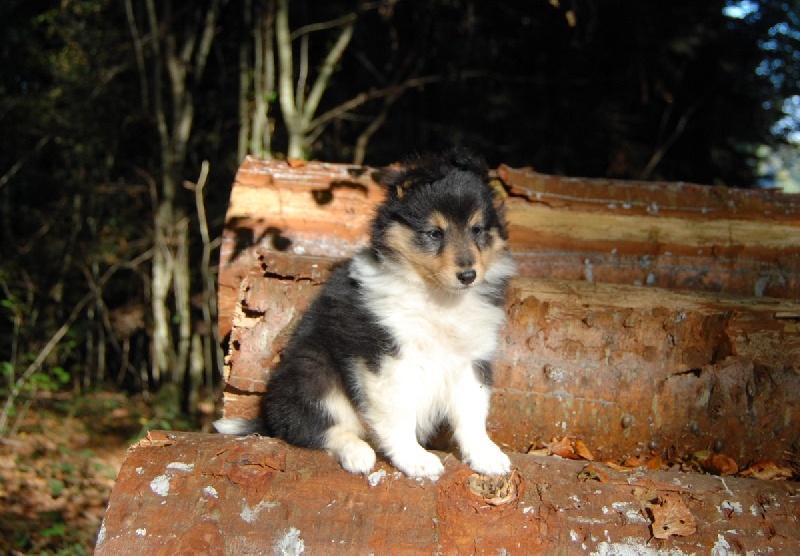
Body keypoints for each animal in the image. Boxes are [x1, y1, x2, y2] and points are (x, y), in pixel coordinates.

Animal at [215, 148, 515, 479]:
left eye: (477, 229)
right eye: (434, 233)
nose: (468, 275)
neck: (438, 297)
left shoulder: (471, 358)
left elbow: (473, 412)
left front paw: (486, 457)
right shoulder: (387, 357)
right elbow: (400, 414)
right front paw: (416, 460)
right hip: (313, 373)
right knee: (310, 427)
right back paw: (357, 453)